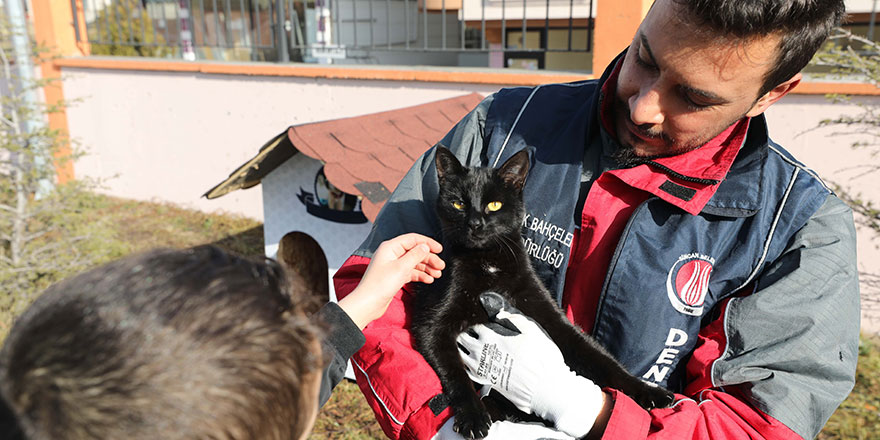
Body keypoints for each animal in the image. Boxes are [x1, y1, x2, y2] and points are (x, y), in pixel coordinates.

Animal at [410, 147, 672, 436]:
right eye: (458, 204)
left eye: (494, 205)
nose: (475, 223)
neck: (488, 263)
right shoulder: (432, 324)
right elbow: (454, 372)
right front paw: (473, 417)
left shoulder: (547, 313)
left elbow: (600, 358)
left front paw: (649, 392)